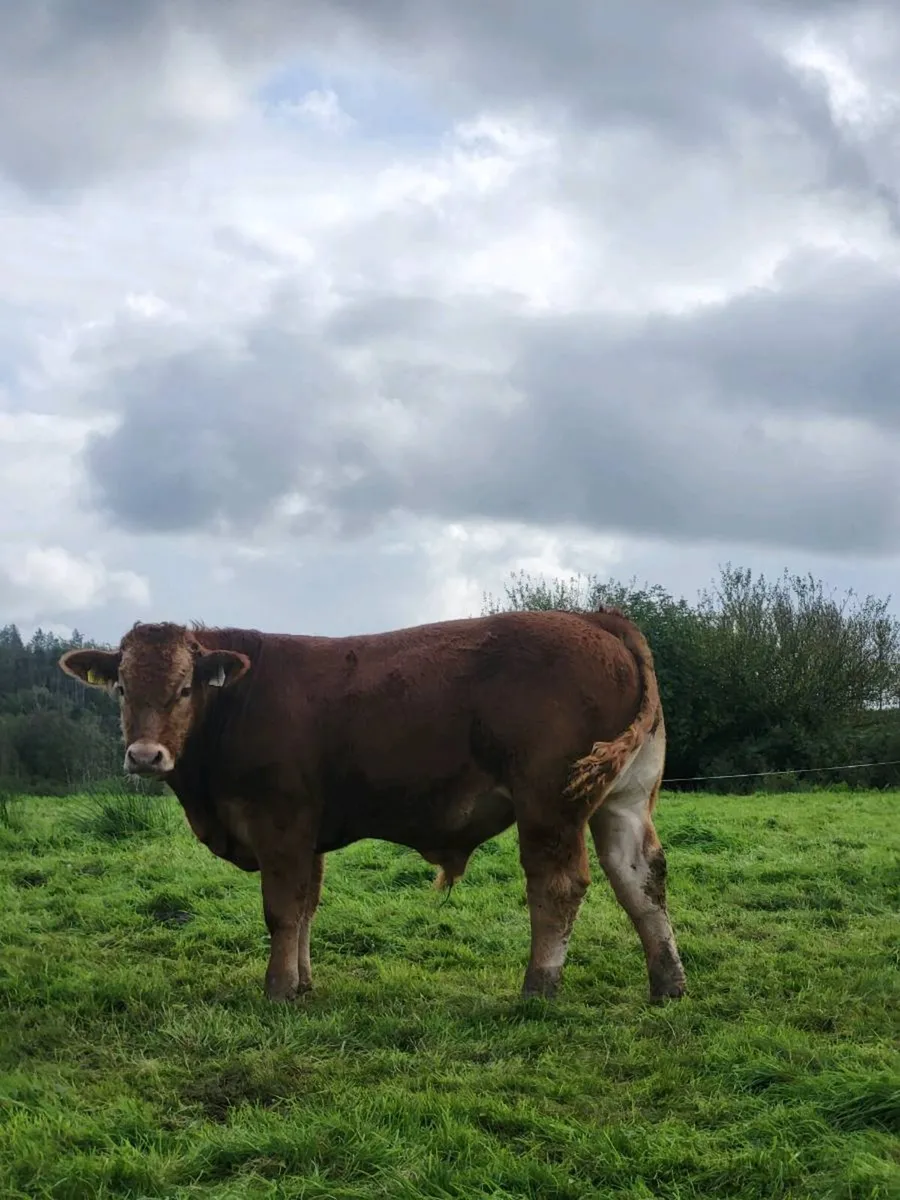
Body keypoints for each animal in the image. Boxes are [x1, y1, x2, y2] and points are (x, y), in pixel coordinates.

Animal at [59, 608, 687, 1005]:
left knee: (558, 886)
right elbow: (306, 908)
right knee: (640, 878)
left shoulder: (279, 822)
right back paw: (668, 983)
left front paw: (277, 990)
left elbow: (281, 910)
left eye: (186, 688)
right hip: (624, 801)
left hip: (549, 803)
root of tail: (594, 617)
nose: (145, 755)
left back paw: (539, 986)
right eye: (121, 688)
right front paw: (303, 983)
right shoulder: (307, 835)